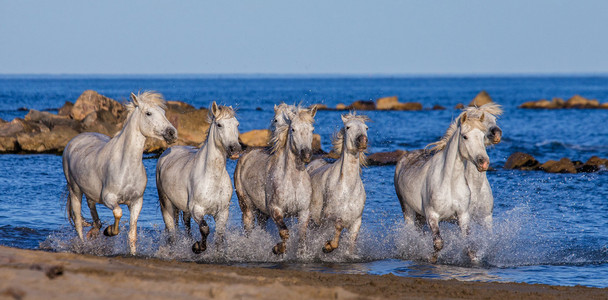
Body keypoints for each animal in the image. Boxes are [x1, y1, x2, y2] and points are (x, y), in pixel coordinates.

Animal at [64, 91, 178, 253]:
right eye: (148, 113)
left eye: (163, 112)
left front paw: (133, 253)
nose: (172, 133)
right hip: (75, 190)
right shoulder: (109, 198)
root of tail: (74, 140)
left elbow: (132, 234)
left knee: (92, 209)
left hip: (89, 192)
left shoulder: (136, 202)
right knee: (78, 221)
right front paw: (110, 231)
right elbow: (118, 212)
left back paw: (94, 230)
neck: (126, 167)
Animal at [156, 103, 241, 253]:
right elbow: (205, 228)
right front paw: (197, 247)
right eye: (219, 125)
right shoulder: (197, 209)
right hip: (166, 204)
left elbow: (219, 236)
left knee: (186, 224)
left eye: (237, 124)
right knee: (172, 231)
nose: (235, 149)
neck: (212, 178)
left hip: (184, 208)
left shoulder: (222, 212)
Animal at [234, 104, 318, 254]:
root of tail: (245, 155)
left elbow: (302, 237)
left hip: (262, 212)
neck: (293, 182)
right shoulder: (276, 210)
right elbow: (285, 232)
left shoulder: (303, 212)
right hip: (247, 208)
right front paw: (277, 249)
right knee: (248, 229)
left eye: (312, 129)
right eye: (293, 129)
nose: (306, 154)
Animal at [306, 112, 368, 253]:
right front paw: (328, 246)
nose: (362, 140)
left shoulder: (356, 222)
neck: (347, 189)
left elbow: (351, 243)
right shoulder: (329, 216)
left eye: (366, 128)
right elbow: (339, 226)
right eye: (348, 127)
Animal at [394, 111, 490, 262]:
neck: (449, 183)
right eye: (465, 136)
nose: (483, 162)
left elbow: (469, 246)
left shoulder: (463, 215)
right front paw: (432, 258)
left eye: (483, 136)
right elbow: (438, 243)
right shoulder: (432, 216)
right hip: (408, 210)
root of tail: (404, 158)